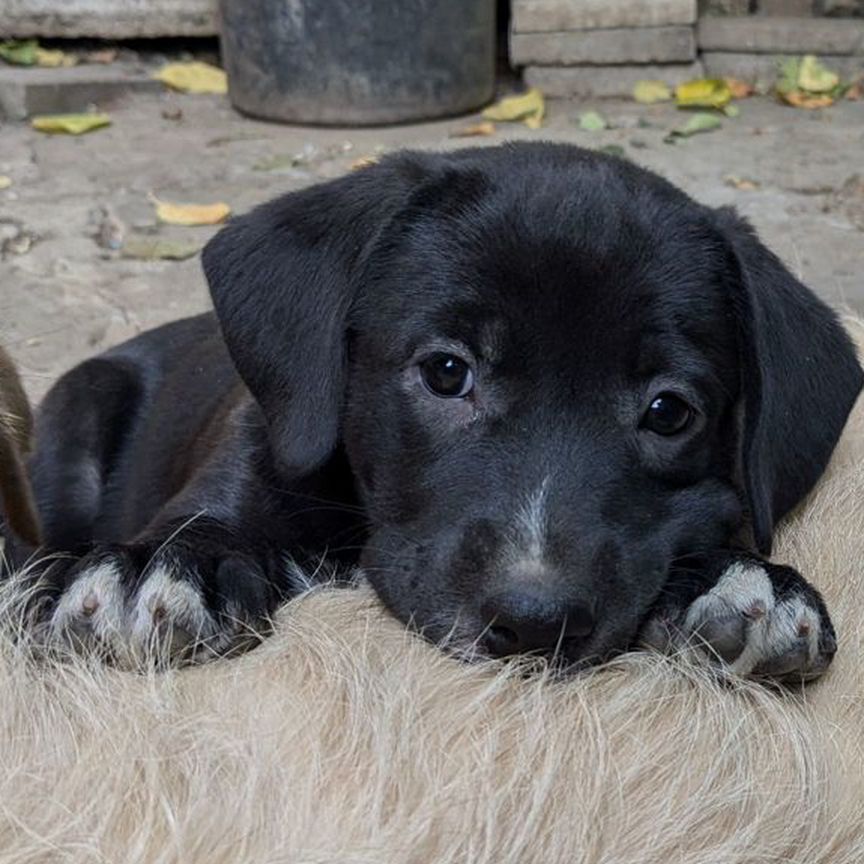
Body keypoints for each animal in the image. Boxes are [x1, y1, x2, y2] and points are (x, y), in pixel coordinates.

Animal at [23, 145, 860, 680]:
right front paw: (163, 567)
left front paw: (736, 580)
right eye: (447, 371)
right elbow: (209, 517)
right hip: (73, 425)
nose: (536, 623)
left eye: (668, 412)